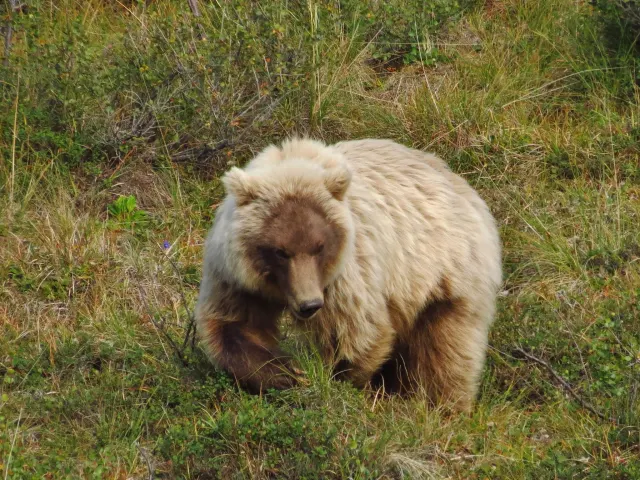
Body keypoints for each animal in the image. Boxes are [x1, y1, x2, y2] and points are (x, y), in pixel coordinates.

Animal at [195, 137, 502, 411]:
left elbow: (358, 334)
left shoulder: (345, 276)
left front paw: (334, 382)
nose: (309, 305)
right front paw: (288, 373)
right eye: (280, 251)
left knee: (444, 349)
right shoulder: (235, 276)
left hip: (446, 275)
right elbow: (234, 326)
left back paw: (441, 405)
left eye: (319, 246)